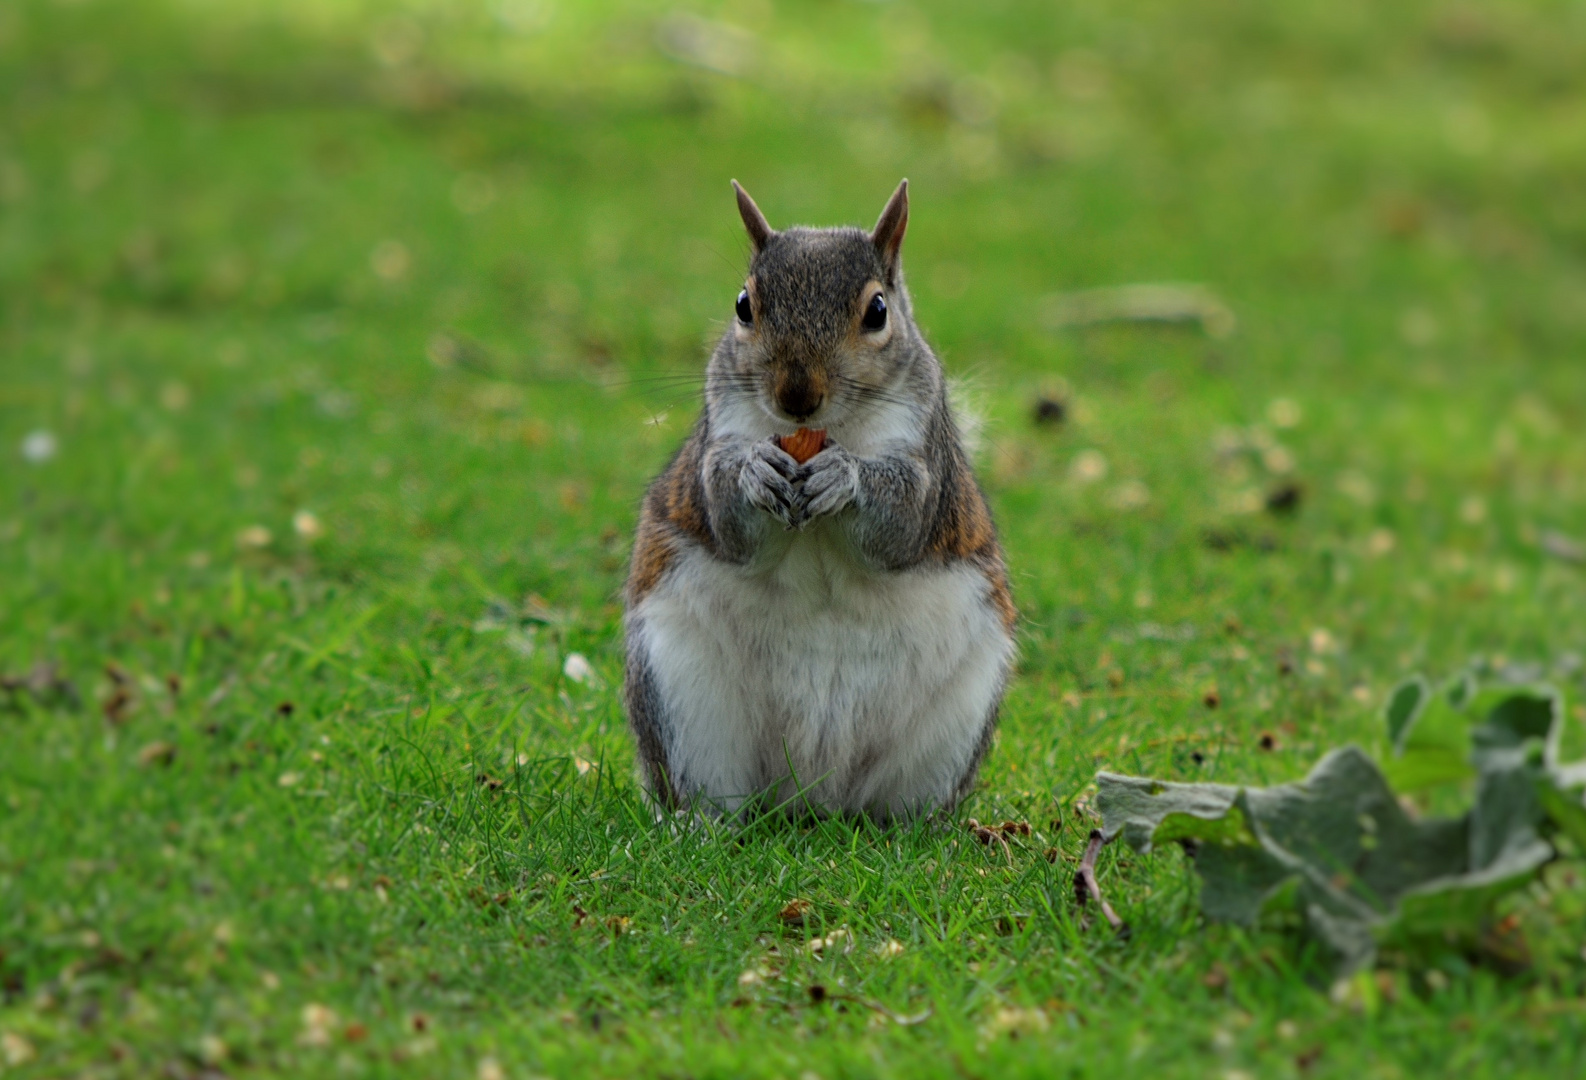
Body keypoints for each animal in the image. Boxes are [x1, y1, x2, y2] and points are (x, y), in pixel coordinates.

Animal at [618, 180, 1015, 818]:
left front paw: (844, 477)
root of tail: (812, 794)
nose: (796, 395)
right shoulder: (720, 430)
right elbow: (726, 513)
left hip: (956, 720)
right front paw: (754, 472)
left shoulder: (926, 460)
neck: (824, 432)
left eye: (878, 311)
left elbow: (901, 522)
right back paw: (699, 823)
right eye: (743, 305)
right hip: (679, 689)